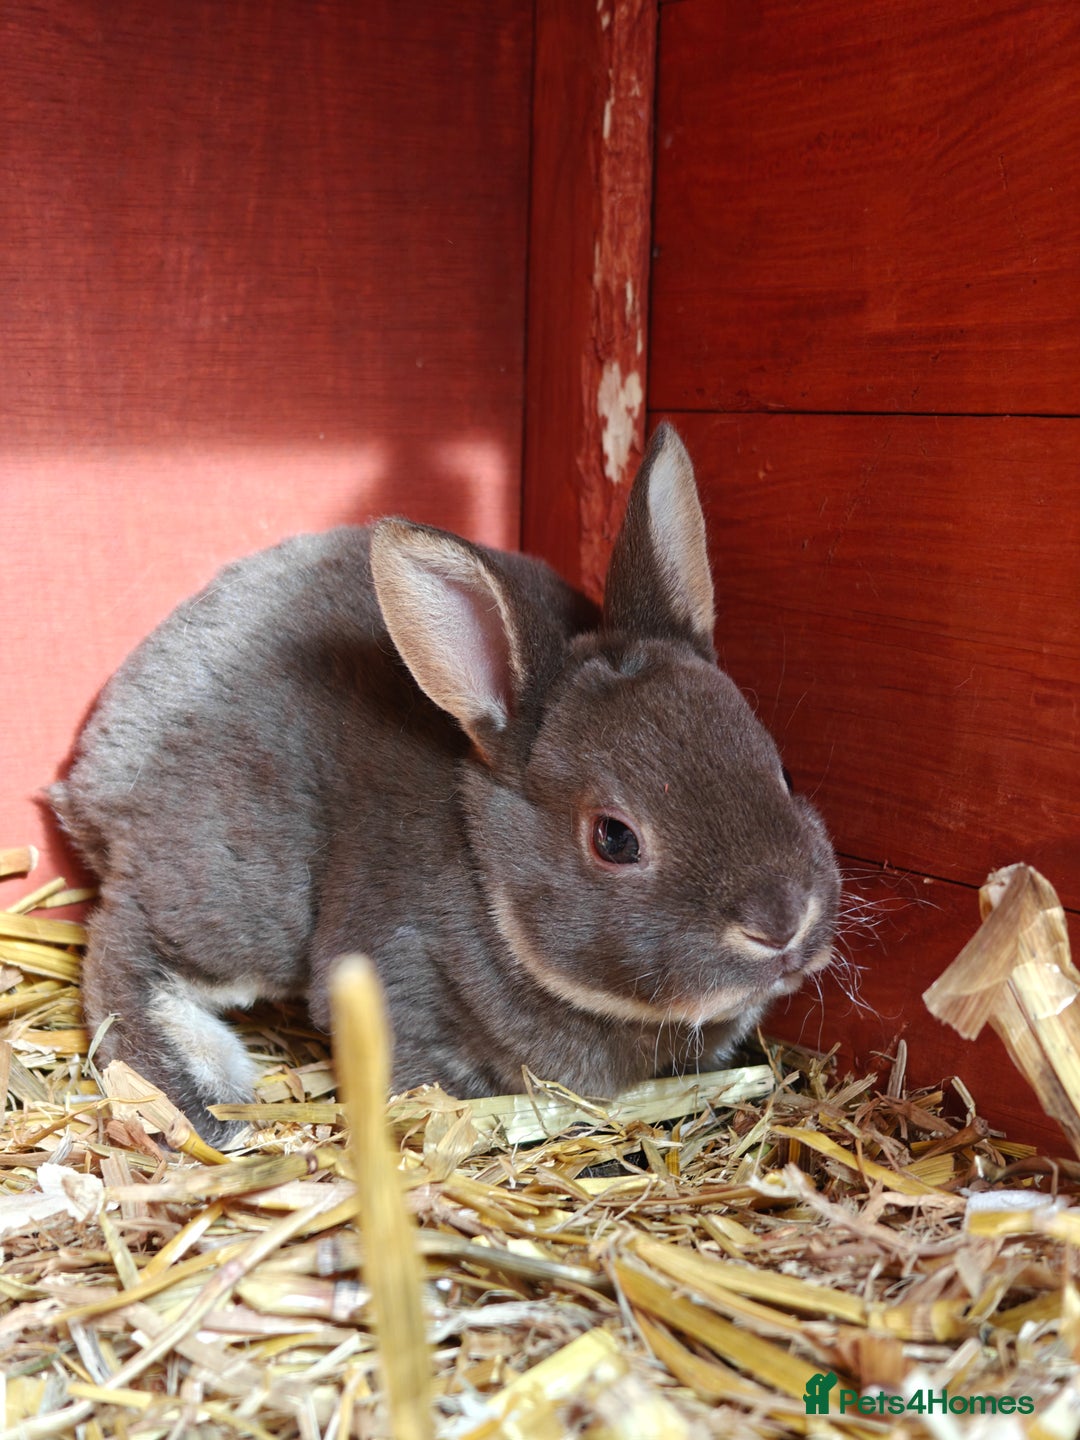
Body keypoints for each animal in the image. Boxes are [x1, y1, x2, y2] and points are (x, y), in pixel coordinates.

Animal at [52, 423, 840, 1145]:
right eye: (615, 838)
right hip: (237, 891)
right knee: (127, 948)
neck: (485, 873)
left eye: (782, 770)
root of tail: (99, 764)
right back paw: (205, 1099)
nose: (779, 923)